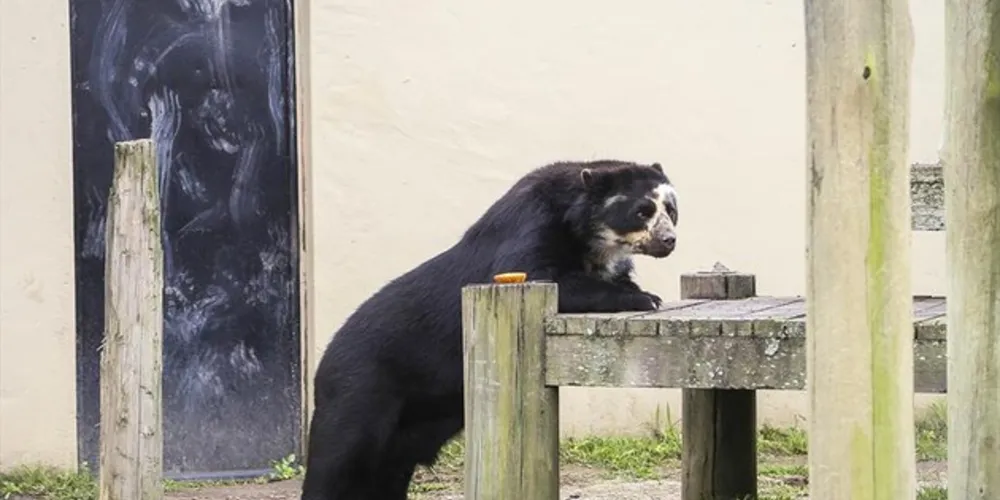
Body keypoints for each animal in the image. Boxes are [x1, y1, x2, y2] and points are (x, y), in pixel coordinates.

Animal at [300, 159, 679, 500]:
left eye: (672, 210)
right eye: (642, 211)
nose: (669, 240)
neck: (590, 238)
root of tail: (321, 362)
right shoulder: (530, 230)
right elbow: (541, 273)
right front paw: (647, 298)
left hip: (400, 436)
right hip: (360, 391)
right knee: (336, 463)